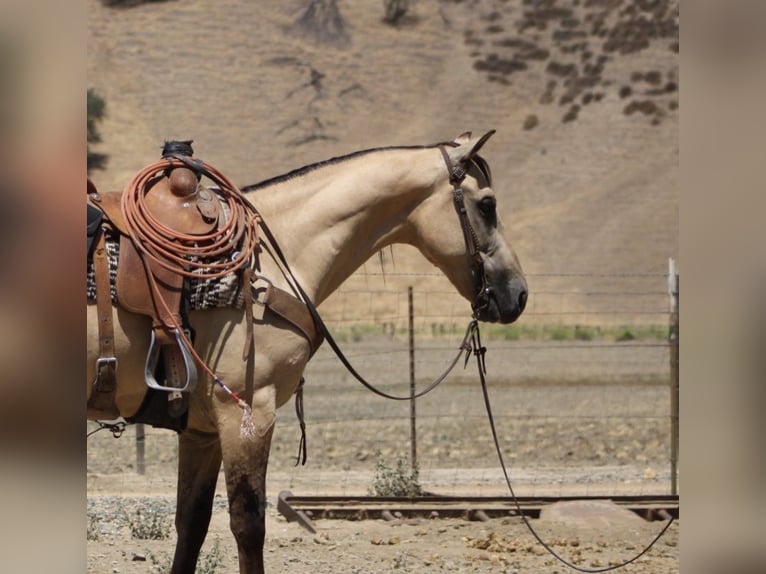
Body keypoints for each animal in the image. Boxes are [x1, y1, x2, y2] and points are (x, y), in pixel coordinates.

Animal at [86, 130, 527, 573]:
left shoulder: (201, 429)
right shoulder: (246, 413)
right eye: (487, 205)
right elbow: (248, 525)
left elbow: (191, 525)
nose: (518, 294)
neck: (265, 267)